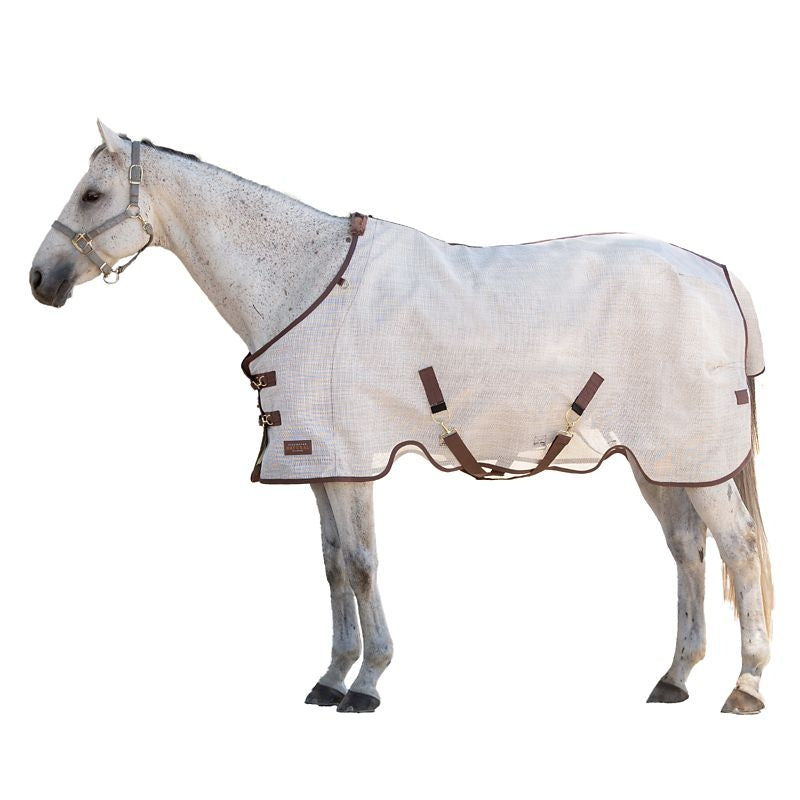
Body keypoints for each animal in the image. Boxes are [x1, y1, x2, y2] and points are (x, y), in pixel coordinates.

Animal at [30, 121, 772, 714]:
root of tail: (720, 274)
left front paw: (367, 682)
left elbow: (361, 563)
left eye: (91, 195)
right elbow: (332, 564)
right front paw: (331, 675)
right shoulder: (319, 462)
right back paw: (675, 678)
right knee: (687, 547)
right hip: (664, 461)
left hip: (698, 461)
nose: (39, 279)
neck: (306, 280)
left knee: (737, 546)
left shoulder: (353, 462)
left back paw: (747, 685)